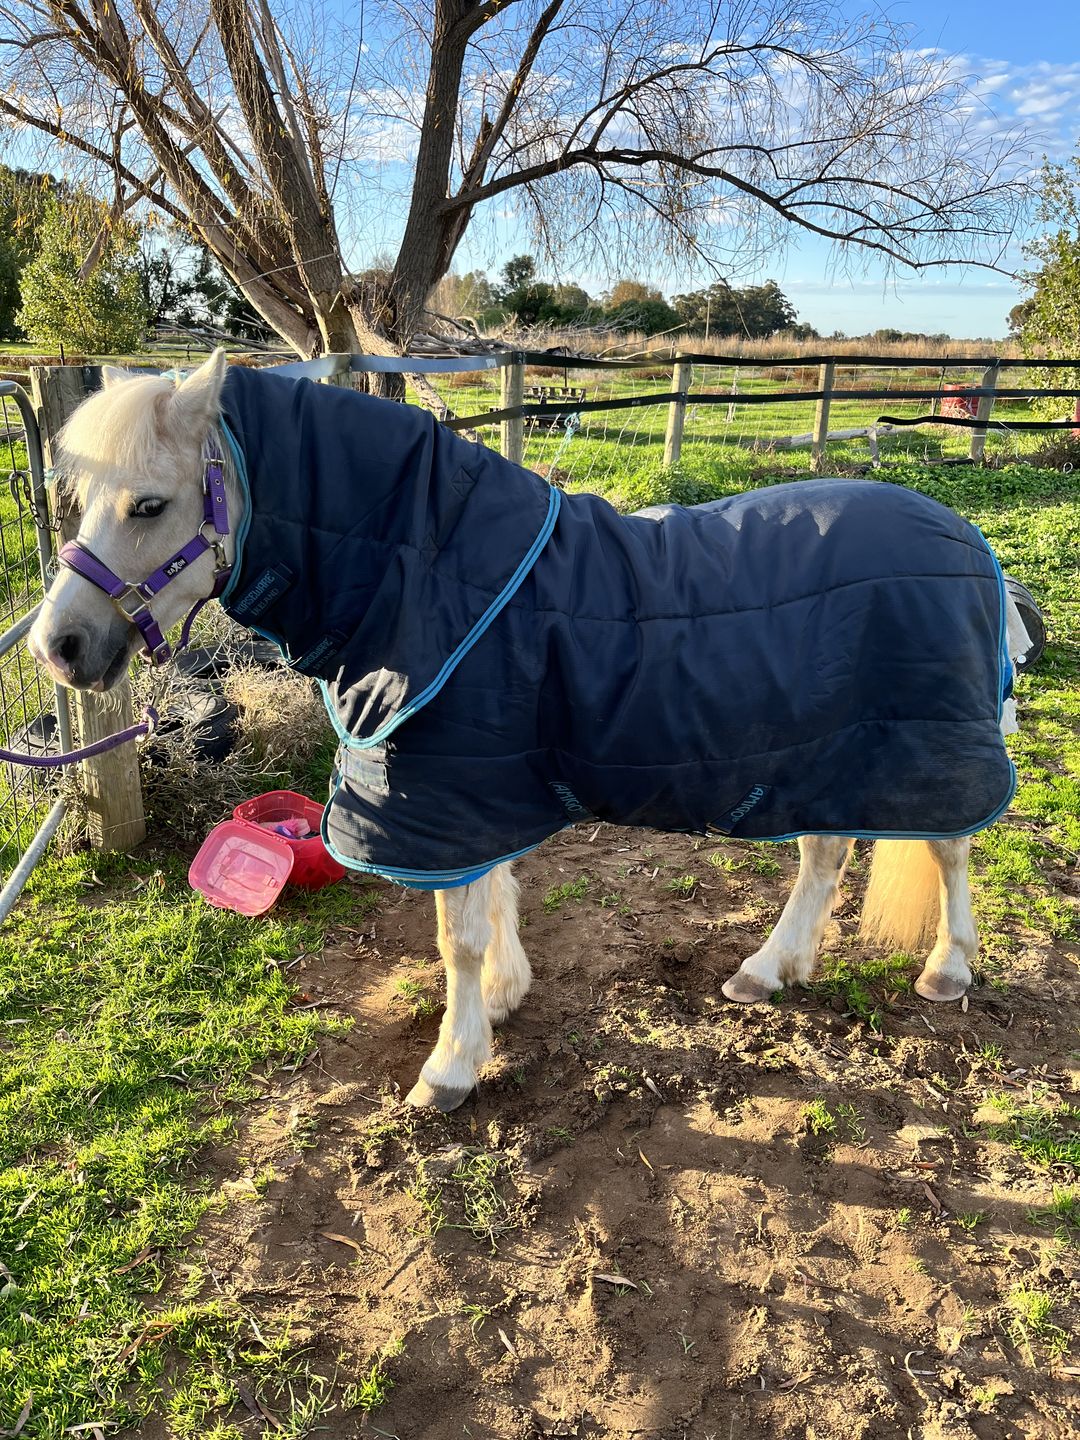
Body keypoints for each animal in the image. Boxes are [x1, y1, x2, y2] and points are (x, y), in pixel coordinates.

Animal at [28, 351, 1032, 1112]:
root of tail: (968, 540)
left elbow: (458, 938)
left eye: (149, 505)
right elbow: (498, 898)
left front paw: (451, 1067)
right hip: (826, 757)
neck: (424, 568)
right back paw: (768, 969)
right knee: (826, 855)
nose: (57, 646)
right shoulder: (477, 789)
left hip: (922, 754)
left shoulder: (447, 790)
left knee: (948, 851)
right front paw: (503, 1002)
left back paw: (947, 971)